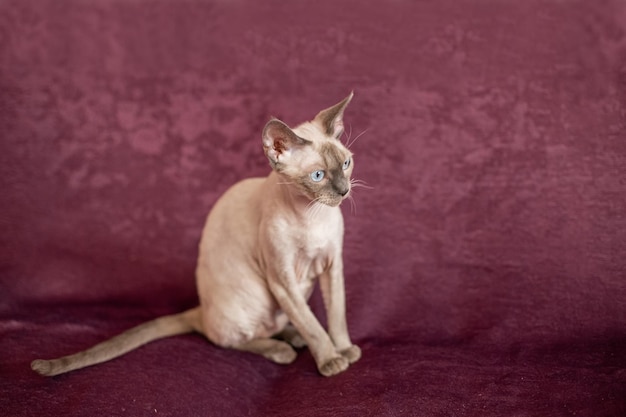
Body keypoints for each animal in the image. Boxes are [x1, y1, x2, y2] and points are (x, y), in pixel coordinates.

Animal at [30, 92, 360, 376]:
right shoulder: (283, 279)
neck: (313, 216)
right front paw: (331, 360)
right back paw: (282, 350)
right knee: (228, 338)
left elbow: (336, 315)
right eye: (318, 176)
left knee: (279, 324)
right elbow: (314, 326)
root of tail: (201, 309)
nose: (344, 191)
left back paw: (293, 337)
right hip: (257, 297)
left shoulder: (333, 266)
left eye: (346, 163)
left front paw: (344, 350)